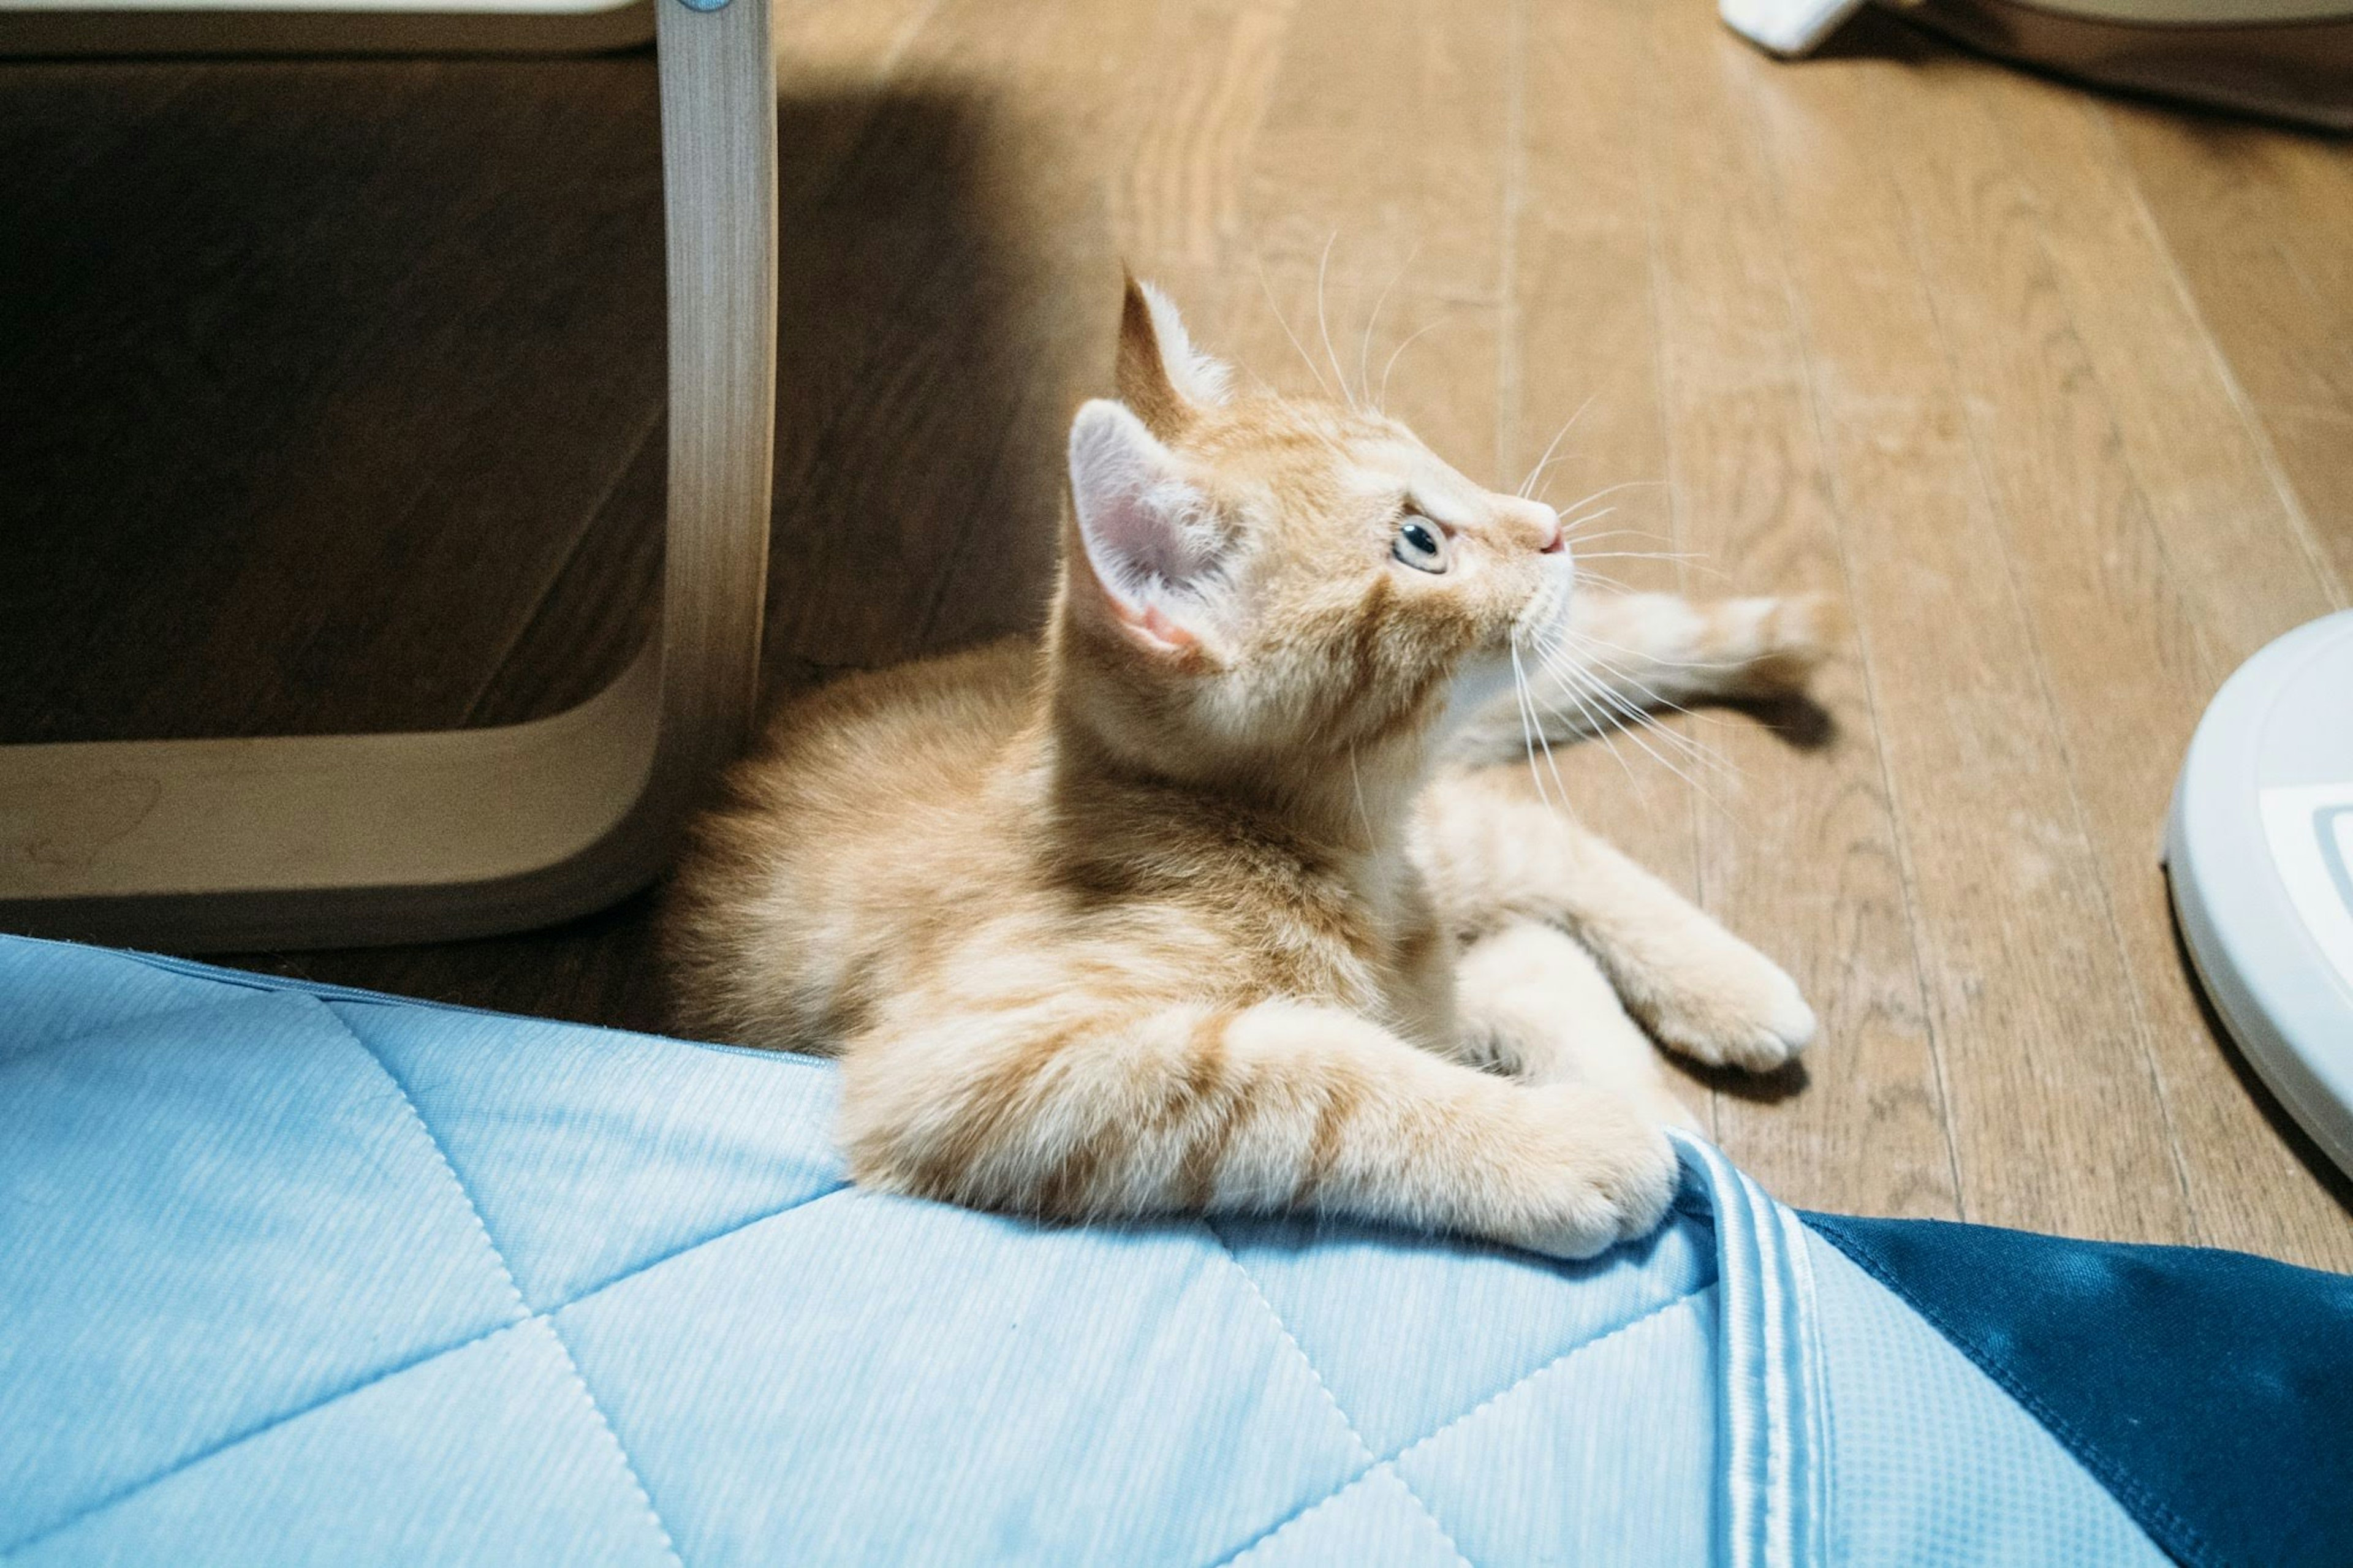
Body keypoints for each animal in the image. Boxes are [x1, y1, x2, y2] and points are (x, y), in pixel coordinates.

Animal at [663, 278, 1816, 1262]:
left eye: (1431, 456)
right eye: (1419, 540)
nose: (1551, 529)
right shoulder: (972, 1065)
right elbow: (1321, 1071)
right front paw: (1562, 1145)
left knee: (1539, 862)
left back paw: (1731, 990)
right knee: (1526, 941)